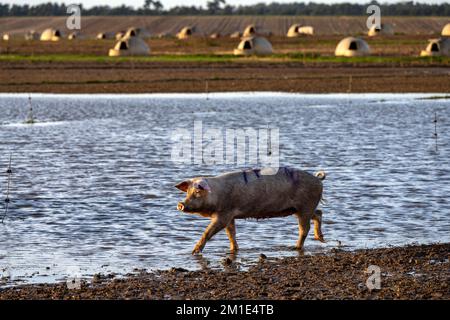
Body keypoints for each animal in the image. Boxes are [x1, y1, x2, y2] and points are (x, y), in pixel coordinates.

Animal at [176, 168, 326, 255]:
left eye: (197, 191)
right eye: (187, 192)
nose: (180, 204)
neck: (217, 194)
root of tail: (318, 179)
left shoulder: (224, 215)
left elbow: (207, 232)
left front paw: (194, 252)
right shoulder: (230, 216)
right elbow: (231, 234)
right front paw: (234, 250)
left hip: (305, 206)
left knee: (304, 229)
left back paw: (296, 247)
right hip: (300, 209)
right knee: (318, 213)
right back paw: (321, 239)